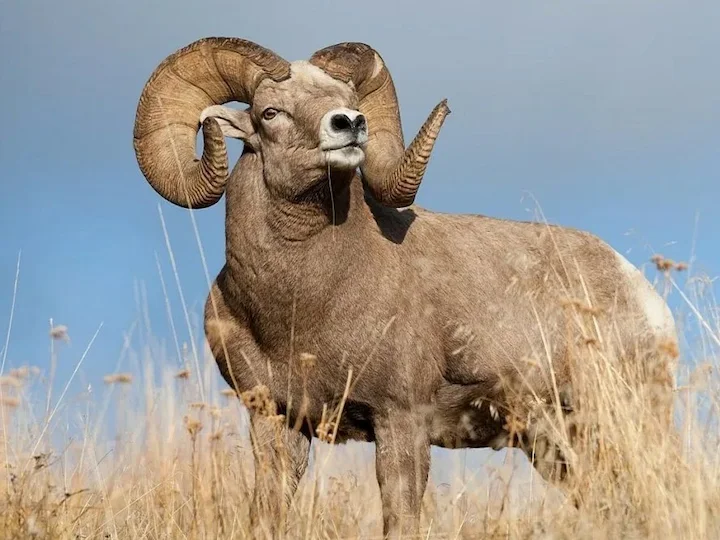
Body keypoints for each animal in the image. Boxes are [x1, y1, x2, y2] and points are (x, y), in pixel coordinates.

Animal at [133, 37, 679, 538]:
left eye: (346, 97)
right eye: (270, 112)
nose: (350, 123)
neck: (298, 309)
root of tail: (647, 299)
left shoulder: (400, 422)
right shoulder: (276, 423)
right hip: (561, 448)